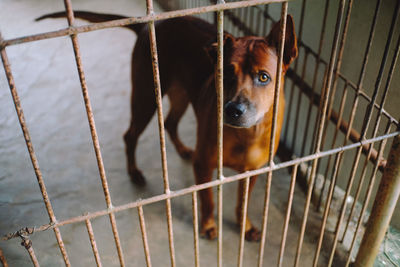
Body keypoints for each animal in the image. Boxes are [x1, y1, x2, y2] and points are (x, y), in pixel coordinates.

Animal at [37, 10, 298, 242]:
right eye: (224, 74)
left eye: (263, 77)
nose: (232, 110)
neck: (248, 134)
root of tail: (149, 25)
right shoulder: (204, 166)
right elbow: (207, 200)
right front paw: (208, 225)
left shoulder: (254, 171)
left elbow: (243, 204)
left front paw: (246, 226)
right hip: (145, 97)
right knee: (130, 135)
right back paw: (134, 172)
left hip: (179, 94)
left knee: (169, 123)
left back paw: (182, 150)